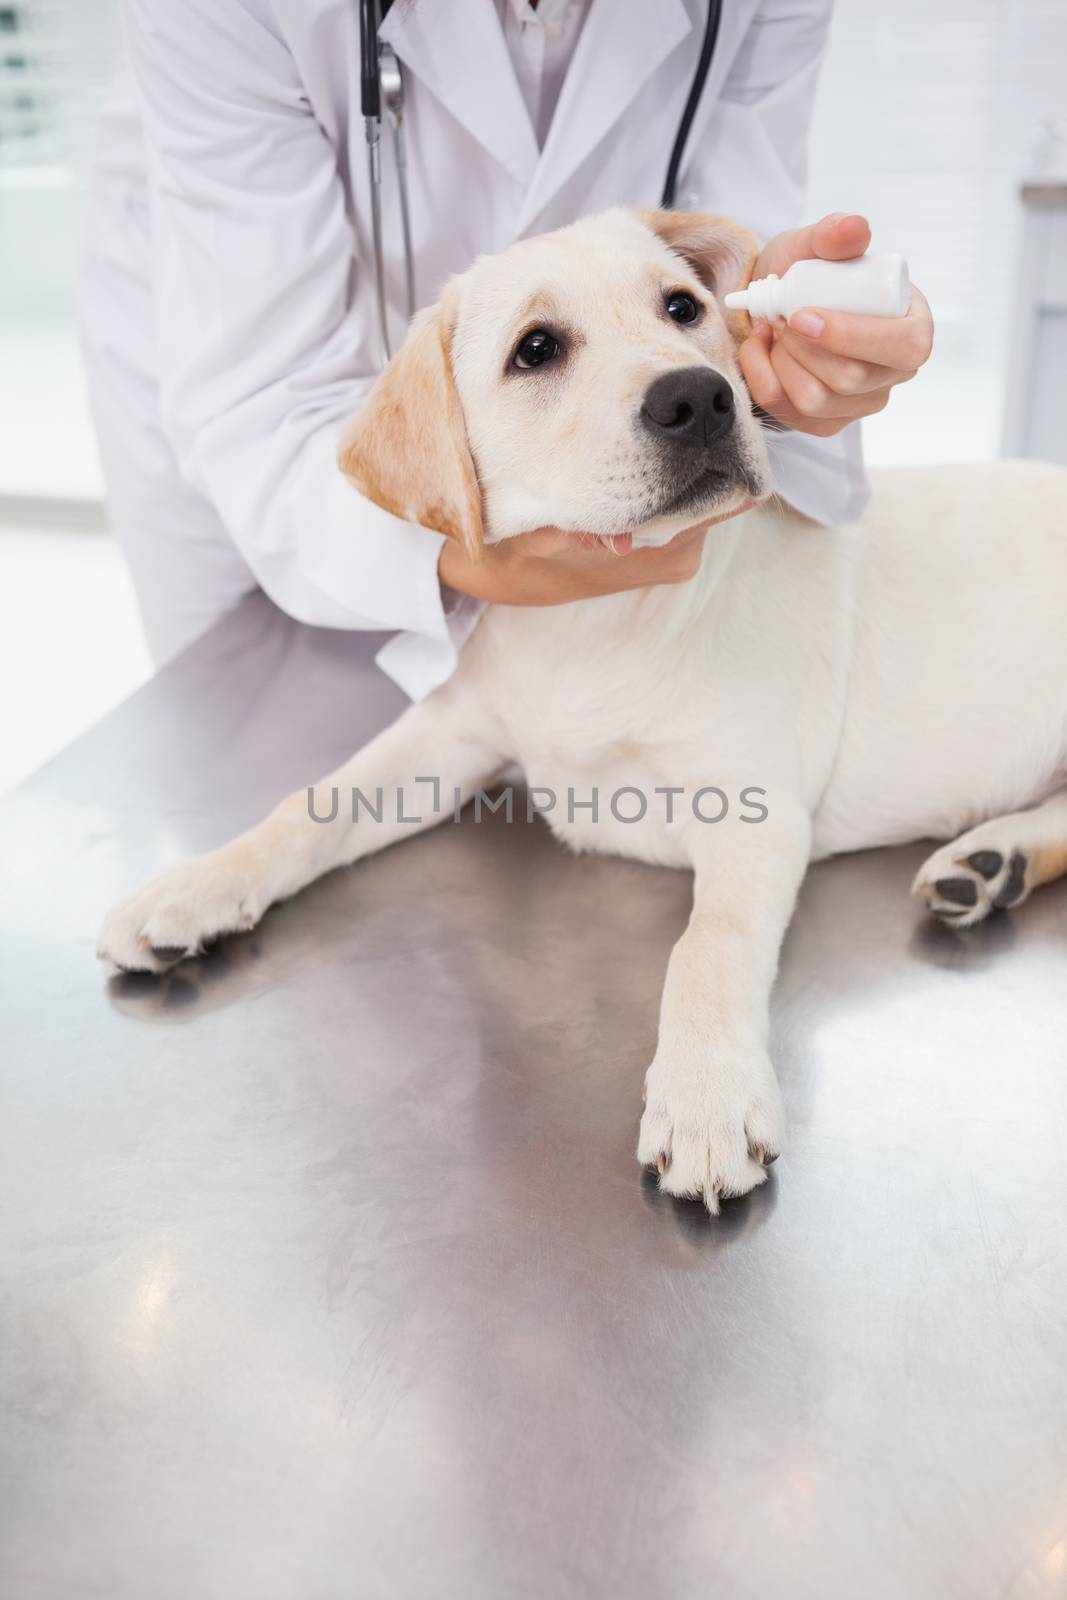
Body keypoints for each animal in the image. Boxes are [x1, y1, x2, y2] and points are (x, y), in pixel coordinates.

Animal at [99, 209, 1067, 1209]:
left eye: (681, 308)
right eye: (535, 349)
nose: (699, 398)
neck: (595, 625)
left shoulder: (754, 813)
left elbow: (706, 947)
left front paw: (706, 1094)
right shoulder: (450, 732)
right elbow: (309, 805)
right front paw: (194, 886)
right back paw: (989, 866)